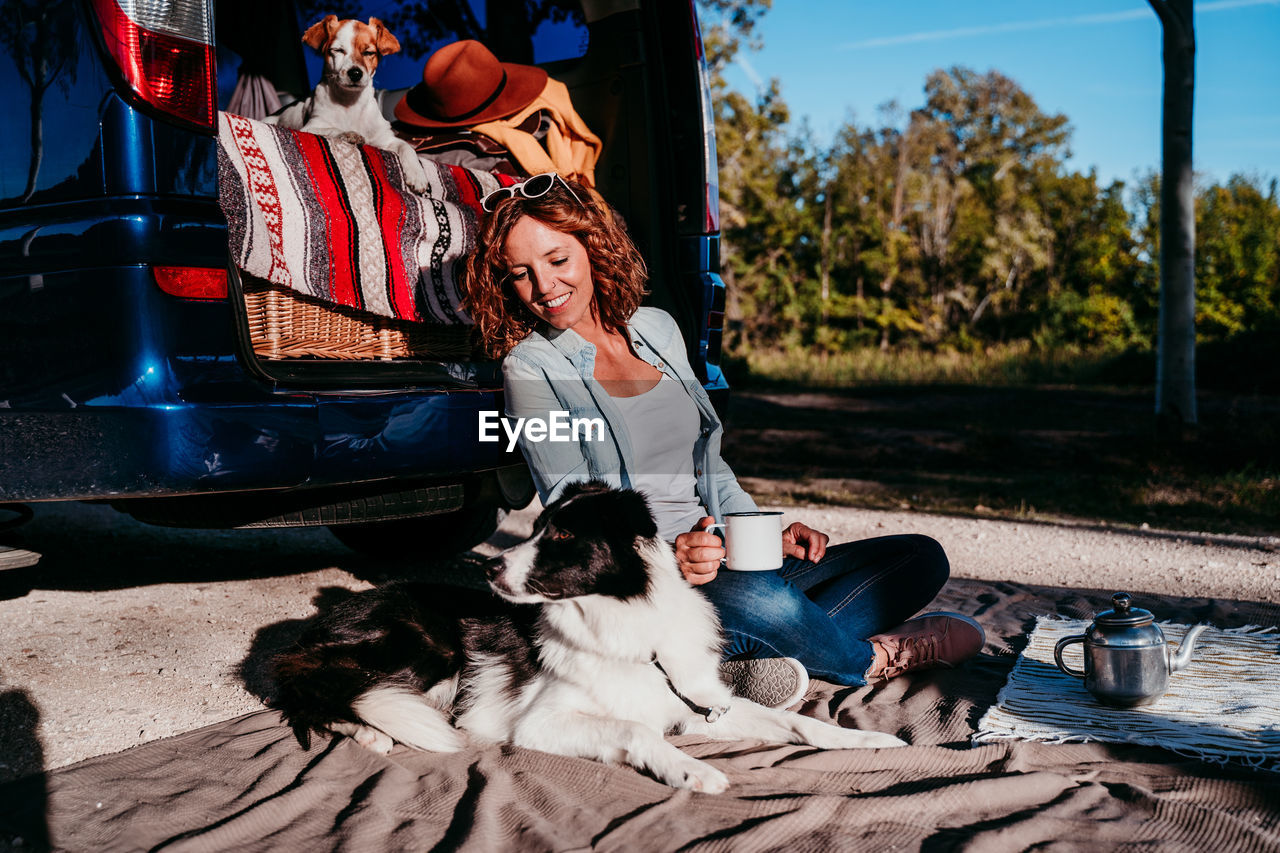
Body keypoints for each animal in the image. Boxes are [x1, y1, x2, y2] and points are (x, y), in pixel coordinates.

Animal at [273, 479, 906, 788]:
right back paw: (373, 730)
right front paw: (692, 771)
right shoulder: (541, 723)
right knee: (320, 688)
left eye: (559, 536)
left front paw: (867, 741)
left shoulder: (705, 704)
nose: (488, 569)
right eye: (535, 528)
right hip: (429, 644)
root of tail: (318, 626)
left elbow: (800, 723)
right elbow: (636, 728)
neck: (625, 625)